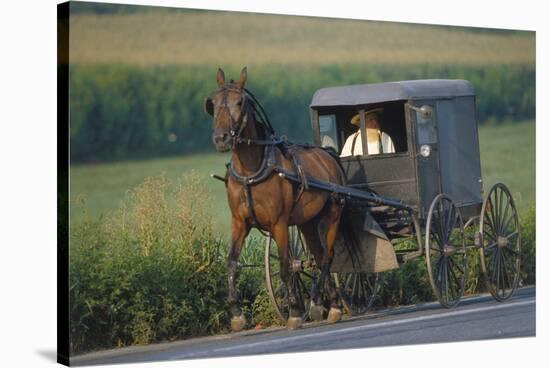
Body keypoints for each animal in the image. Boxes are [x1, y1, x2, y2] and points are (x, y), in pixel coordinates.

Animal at [205, 67, 348, 330]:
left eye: (239, 102)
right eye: (213, 103)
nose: (221, 138)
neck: (252, 172)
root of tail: (328, 155)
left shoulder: (278, 223)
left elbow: (285, 265)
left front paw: (294, 310)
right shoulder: (239, 222)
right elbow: (231, 263)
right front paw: (237, 314)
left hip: (333, 214)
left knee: (327, 257)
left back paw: (320, 302)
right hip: (307, 222)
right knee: (319, 255)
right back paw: (326, 303)